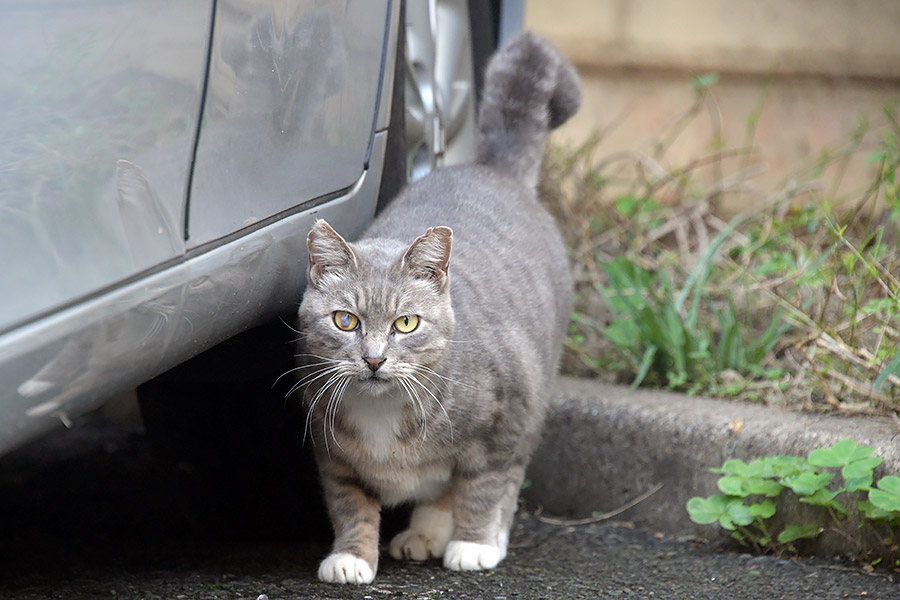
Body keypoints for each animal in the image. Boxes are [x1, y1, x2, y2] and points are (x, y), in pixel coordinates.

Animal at [294, 30, 576, 584]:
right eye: (345, 320)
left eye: (406, 323)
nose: (374, 359)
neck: (382, 411)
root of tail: (489, 168)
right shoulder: (331, 452)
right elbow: (349, 504)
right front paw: (352, 556)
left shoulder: (505, 422)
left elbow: (484, 487)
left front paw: (474, 544)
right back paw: (422, 535)